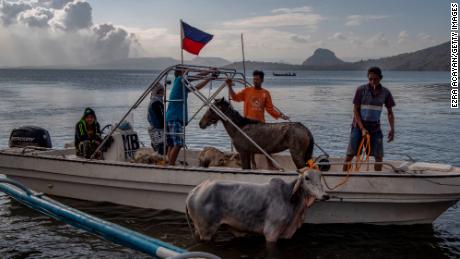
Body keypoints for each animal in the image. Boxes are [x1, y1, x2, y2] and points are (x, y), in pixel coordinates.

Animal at [185, 171, 328, 244]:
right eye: (307, 178)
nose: (325, 195)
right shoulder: (271, 232)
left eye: (320, 176)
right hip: (206, 230)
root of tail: (194, 192)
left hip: (199, 229)